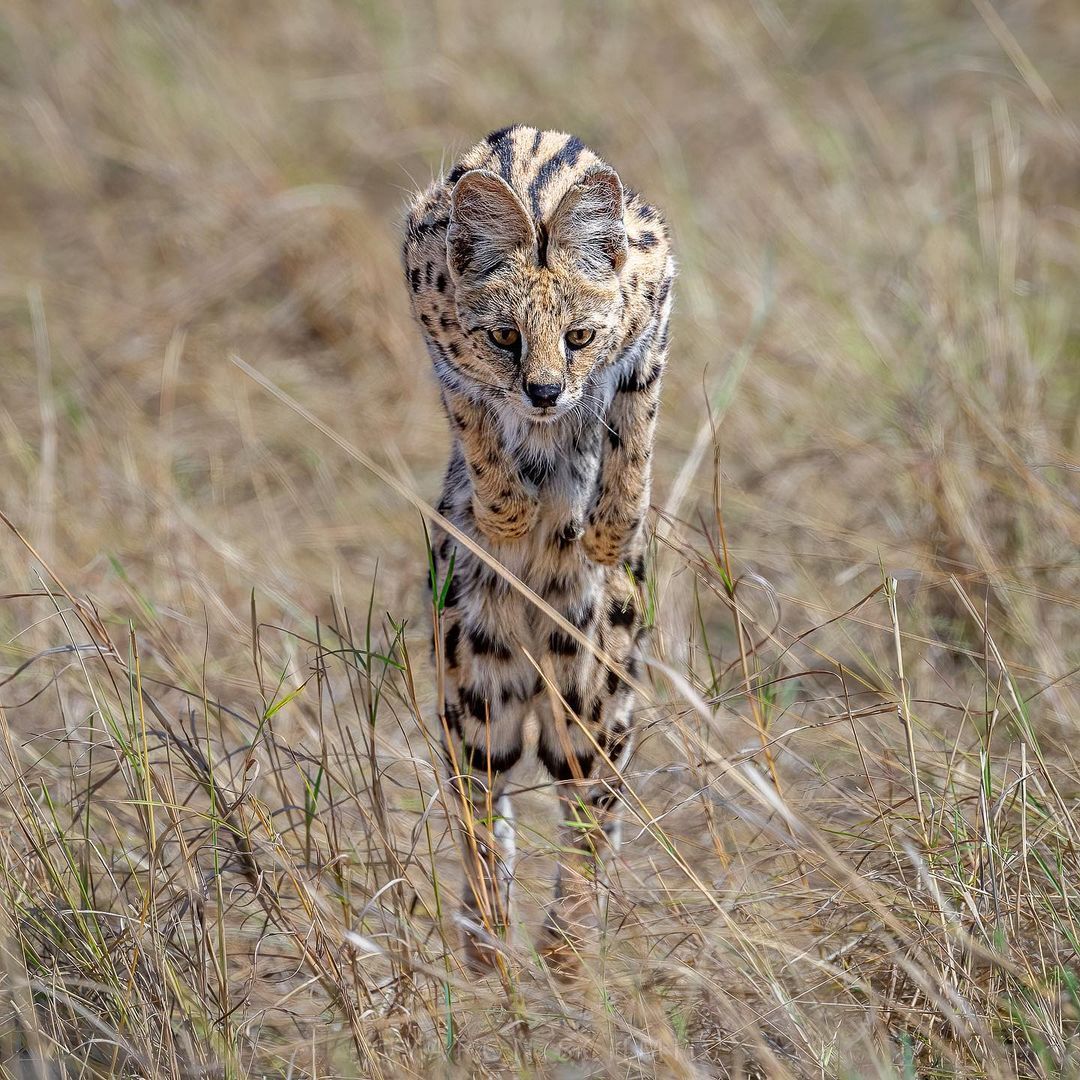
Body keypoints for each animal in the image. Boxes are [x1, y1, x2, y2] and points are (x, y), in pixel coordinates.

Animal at [403, 124, 673, 972]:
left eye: (579, 336)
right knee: (482, 807)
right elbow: (469, 409)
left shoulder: (655, 302)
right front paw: (507, 514)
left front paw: (611, 527)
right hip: (475, 687)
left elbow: (637, 416)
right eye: (505, 336)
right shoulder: (433, 317)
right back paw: (489, 940)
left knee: (589, 816)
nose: (546, 393)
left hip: (591, 695)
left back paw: (563, 947)